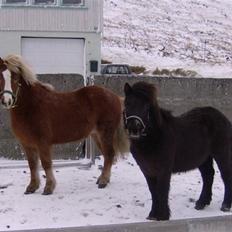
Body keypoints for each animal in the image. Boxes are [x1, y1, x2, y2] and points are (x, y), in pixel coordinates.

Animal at [0, 55, 129, 195]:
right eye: (0, 76)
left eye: (15, 78)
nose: (7, 101)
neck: (31, 106)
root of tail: (115, 97)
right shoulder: (27, 144)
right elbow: (32, 165)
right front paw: (32, 187)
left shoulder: (43, 143)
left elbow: (46, 164)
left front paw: (49, 187)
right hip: (96, 135)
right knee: (107, 155)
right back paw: (102, 179)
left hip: (105, 133)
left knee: (109, 154)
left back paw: (103, 181)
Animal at [124, 81, 232, 221]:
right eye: (127, 103)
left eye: (146, 106)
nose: (134, 127)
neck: (156, 137)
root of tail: (222, 116)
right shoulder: (147, 170)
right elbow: (153, 192)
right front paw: (153, 215)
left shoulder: (164, 170)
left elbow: (162, 191)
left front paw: (162, 216)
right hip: (204, 158)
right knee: (208, 175)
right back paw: (201, 203)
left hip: (221, 153)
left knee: (226, 175)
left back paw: (226, 205)